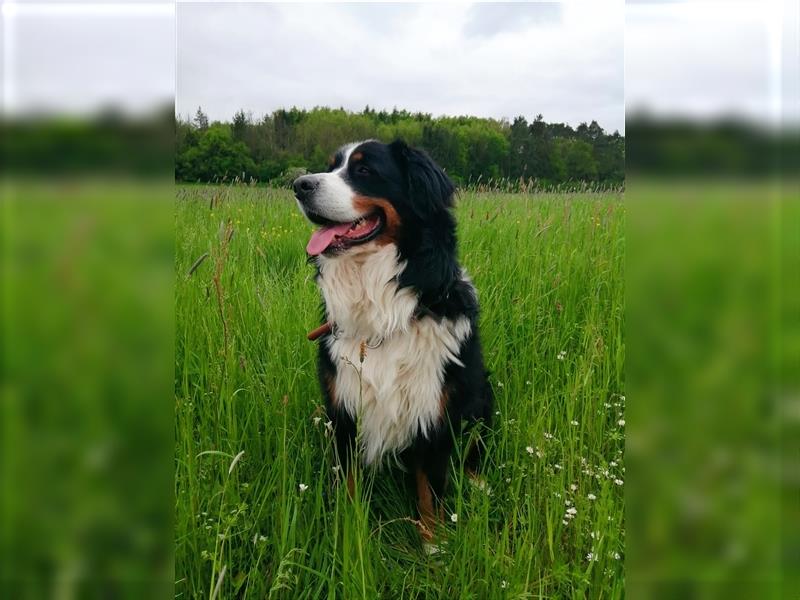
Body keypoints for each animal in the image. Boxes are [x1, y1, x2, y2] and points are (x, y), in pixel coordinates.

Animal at [294, 141, 494, 544]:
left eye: (364, 170)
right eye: (331, 167)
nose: (299, 185)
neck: (382, 310)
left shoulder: (434, 412)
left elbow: (430, 491)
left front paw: (434, 546)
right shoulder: (344, 409)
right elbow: (349, 481)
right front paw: (347, 533)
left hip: (482, 394)